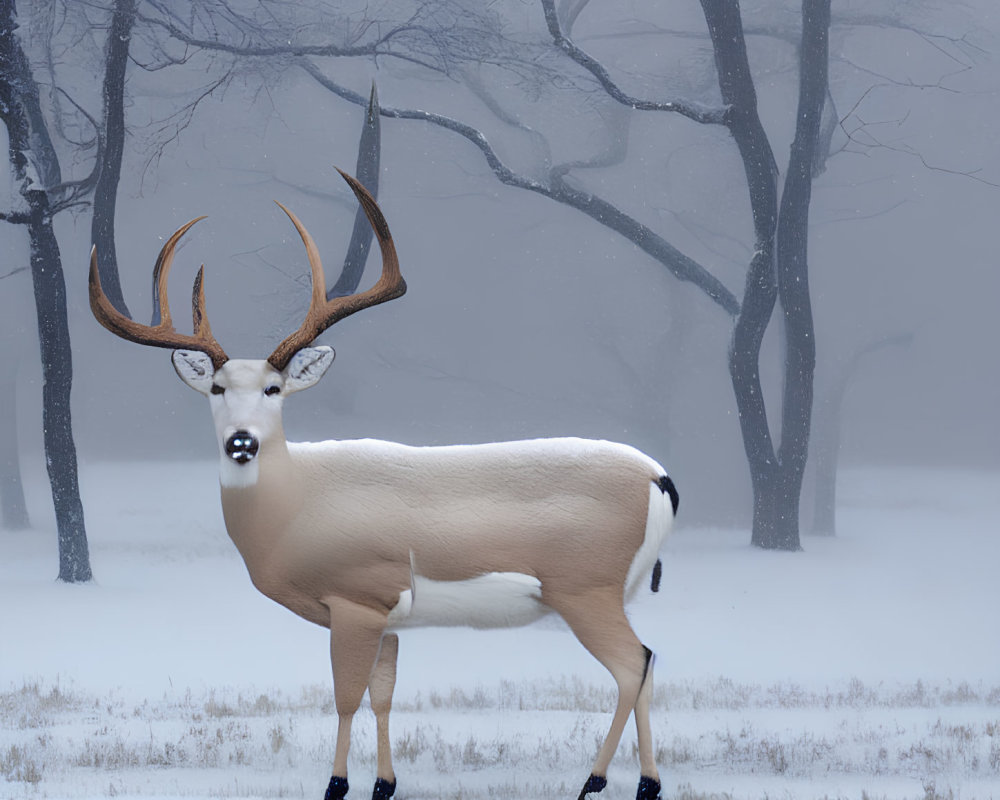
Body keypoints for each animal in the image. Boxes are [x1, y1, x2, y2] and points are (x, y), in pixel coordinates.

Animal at [88, 170, 680, 800]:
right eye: (217, 389)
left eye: (275, 388)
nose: (242, 442)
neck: (293, 508)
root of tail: (660, 476)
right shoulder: (389, 620)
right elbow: (384, 695)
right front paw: (384, 784)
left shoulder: (357, 595)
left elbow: (347, 696)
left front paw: (336, 784)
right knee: (643, 663)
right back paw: (639, 782)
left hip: (585, 585)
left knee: (634, 662)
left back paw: (602, 780)